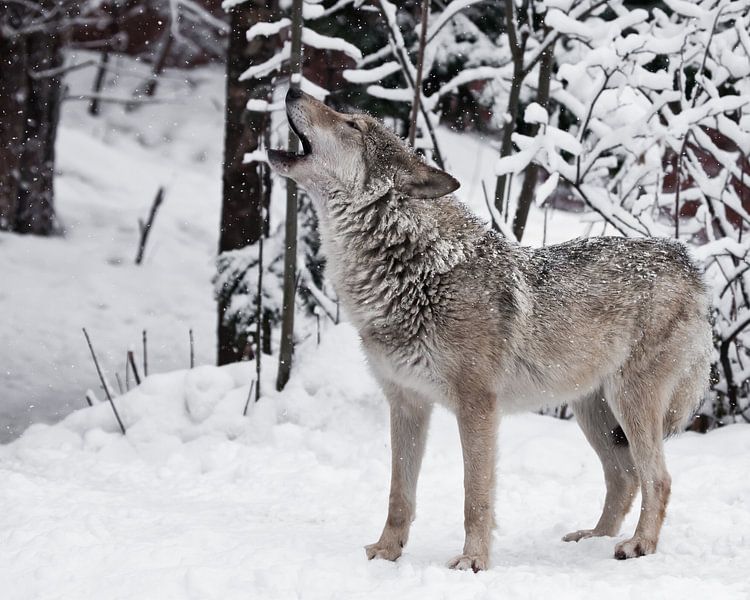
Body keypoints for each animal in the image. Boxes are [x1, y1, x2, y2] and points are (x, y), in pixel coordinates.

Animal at [268, 88, 713, 571]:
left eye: (352, 124)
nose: (292, 88)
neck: (415, 270)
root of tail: (687, 261)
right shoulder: (405, 403)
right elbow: (399, 495)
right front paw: (387, 553)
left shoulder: (477, 406)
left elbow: (474, 496)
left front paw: (473, 561)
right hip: (592, 412)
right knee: (625, 477)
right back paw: (593, 538)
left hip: (628, 402)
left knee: (658, 478)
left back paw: (639, 545)